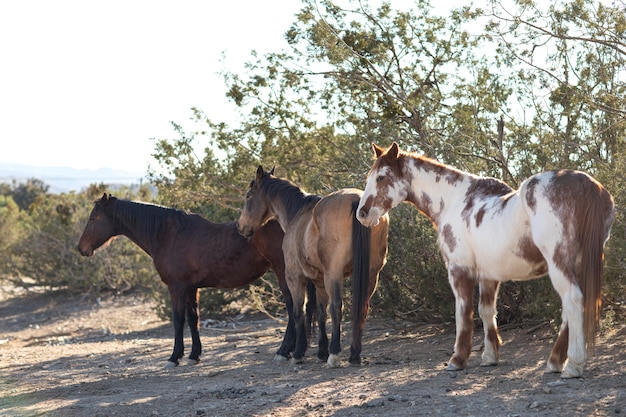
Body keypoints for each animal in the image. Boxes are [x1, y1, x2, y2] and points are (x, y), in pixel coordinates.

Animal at [76, 193, 314, 366]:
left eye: (93, 218)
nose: (81, 248)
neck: (168, 234)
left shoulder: (176, 288)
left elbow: (178, 320)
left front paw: (174, 357)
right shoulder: (191, 288)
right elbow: (193, 319)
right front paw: (194, 355)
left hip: (284, 273)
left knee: (293, 308)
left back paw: (284, 351)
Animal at [236, 166, 388, 368]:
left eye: (248, 195)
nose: (240, 227)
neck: (299, 214)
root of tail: (357, 200)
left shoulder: (294, 278)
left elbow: (298, 312)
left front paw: (298, 352)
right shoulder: (319, 282)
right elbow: (320, 313)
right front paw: (321, 351)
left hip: (334, 275)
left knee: (336, 307)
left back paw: (334, 354)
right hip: (371, 275)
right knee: (362, 308)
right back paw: (354, 355)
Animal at [354, 142, 612, 376]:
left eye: (381, 177)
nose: (362, 214)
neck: (454, 201)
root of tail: (587, 185)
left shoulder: (459, 271)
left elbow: (463, 314)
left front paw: (457, 360)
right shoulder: (489, 276)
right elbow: (486, 311)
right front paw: (489, 357)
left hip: (559, 264)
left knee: (573, 301)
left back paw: (573, 365)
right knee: (569, 310)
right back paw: (555, 362)